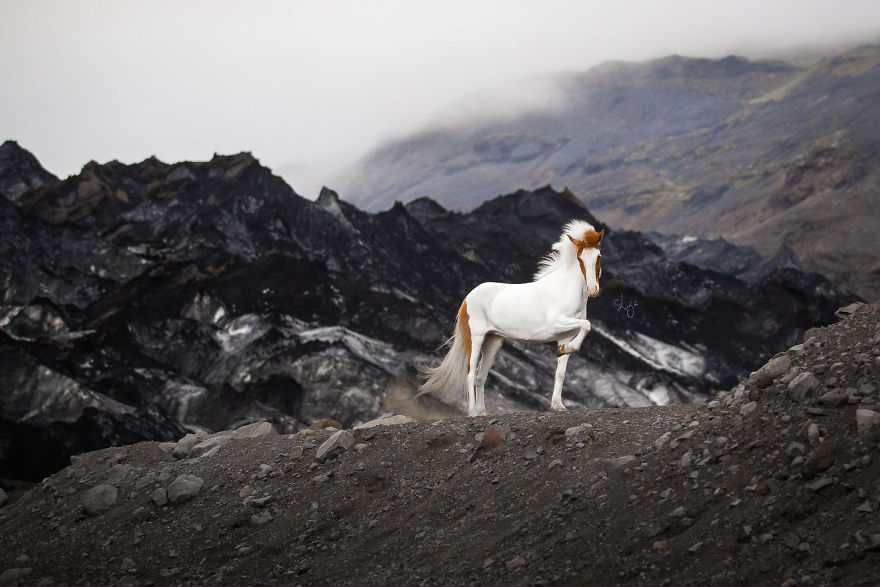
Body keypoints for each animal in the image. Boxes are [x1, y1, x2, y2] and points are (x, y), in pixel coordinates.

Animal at [419, 220, 604, 416]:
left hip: (493, 342)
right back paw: (473, 413)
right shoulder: (555, 324)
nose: (592, 290)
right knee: (470, 373)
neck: (565, 290)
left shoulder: (565, 335)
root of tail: (466, 300)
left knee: (480, 376)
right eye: (580, 259)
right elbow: (587, 325)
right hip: (475, 339)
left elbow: (561, 372)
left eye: (598, 256)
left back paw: (483, 412)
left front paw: (558, 404)